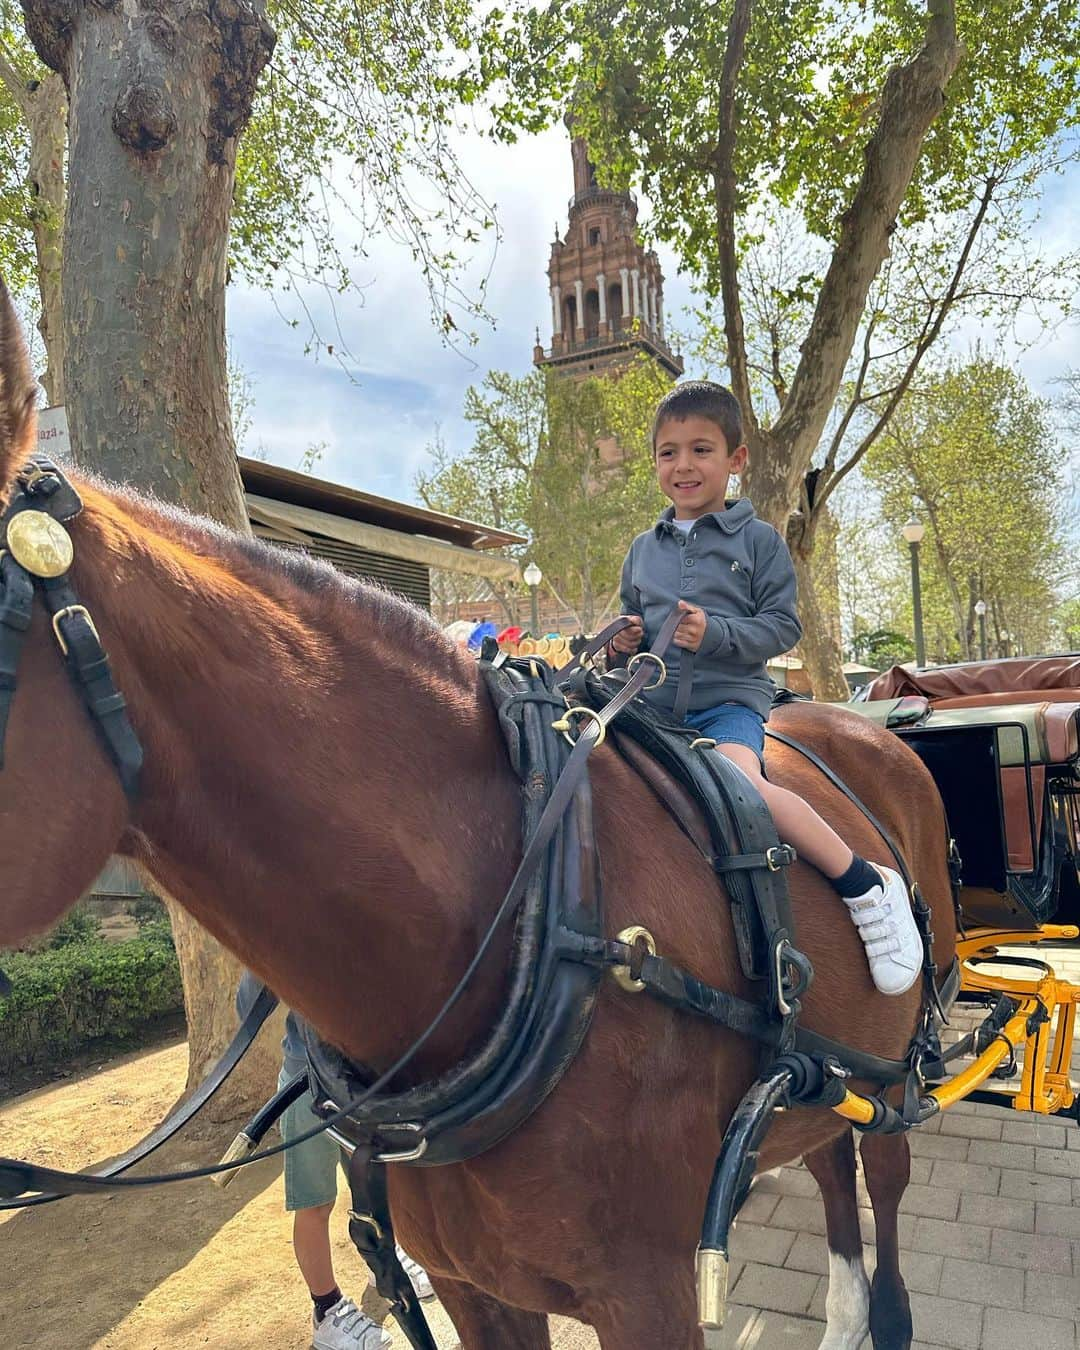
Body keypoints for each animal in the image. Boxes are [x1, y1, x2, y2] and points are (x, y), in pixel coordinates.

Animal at [0, 298, 950, 1350]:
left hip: (896, 1076)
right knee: (826, 1154)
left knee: (886, 1173)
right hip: (819, 1075)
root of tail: (863, 725)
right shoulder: (473, 1286)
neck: (539, 908)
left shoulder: (651, 1292)